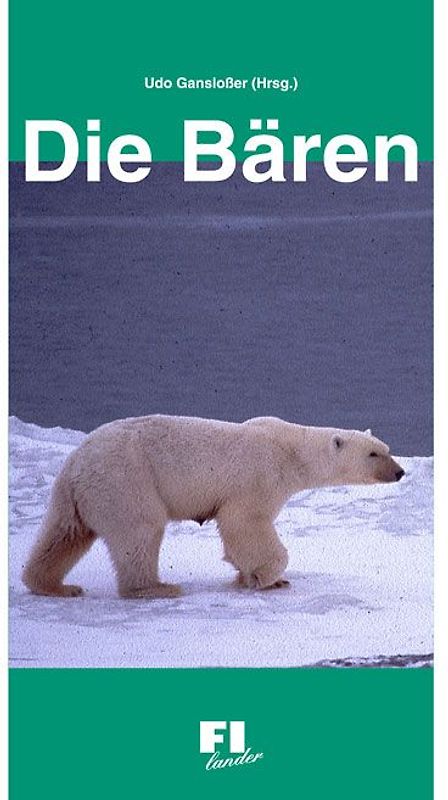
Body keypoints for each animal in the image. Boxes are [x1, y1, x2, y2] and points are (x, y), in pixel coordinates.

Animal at [22, 415, 405, 599]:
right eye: (374, 454)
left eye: (386, 448)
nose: (400, 472)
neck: (291, 449)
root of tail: (76, 462)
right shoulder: (259, 476)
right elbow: (244, 522)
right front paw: (268, 577)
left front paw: (248, 575)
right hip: (127, 479)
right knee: (141, 530)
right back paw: (155, 588)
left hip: (78, 494)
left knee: (63, 534)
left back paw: (54, 586)